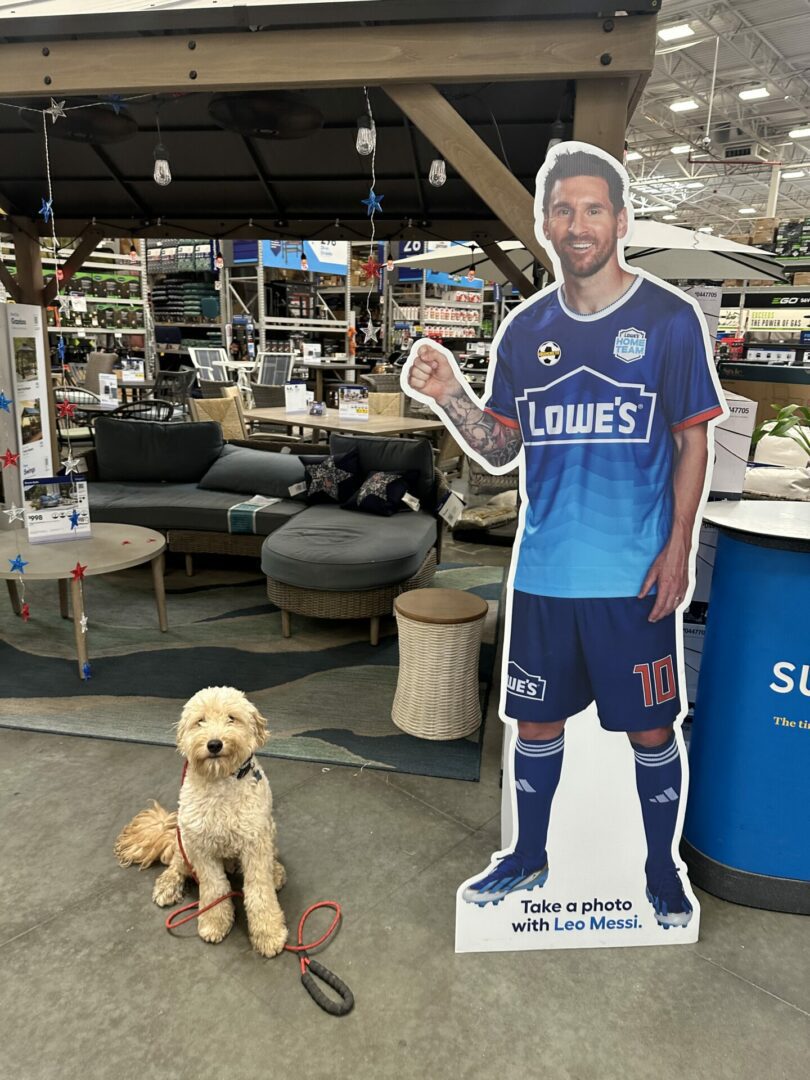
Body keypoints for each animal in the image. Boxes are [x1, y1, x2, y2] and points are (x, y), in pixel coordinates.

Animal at [114, 686, 288, 958]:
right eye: (200, 721)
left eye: (231, 718)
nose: (214, 744)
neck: (220, 780)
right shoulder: (202, 849)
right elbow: (215, 888)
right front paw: (214, 922)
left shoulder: (255, 842)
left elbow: (259, 891)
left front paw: (269, 934)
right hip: (184, 839)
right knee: (176, 864)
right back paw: (167, 886)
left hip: (269, 830)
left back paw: (276, 871)